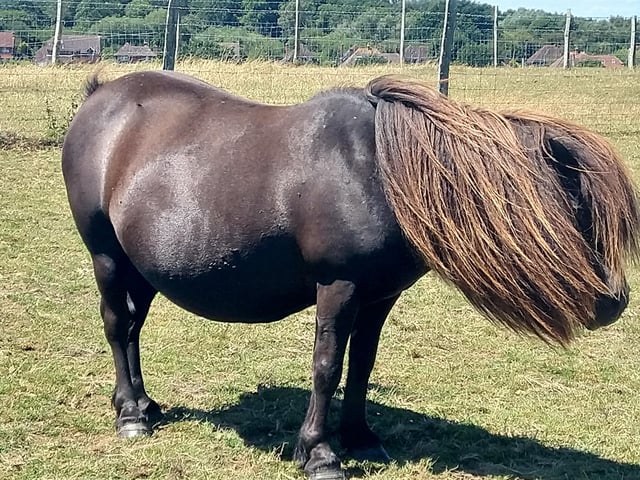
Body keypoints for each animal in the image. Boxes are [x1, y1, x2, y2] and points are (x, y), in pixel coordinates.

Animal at [62, 71, 639, 480]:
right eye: (574, 207)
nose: (616, 301)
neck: (377, 171)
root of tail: (101, 95)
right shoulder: (338, 287)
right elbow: (327, 366)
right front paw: (320, 453)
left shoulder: (380, 294)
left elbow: (361, 364)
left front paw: (360, 435)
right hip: (107, 256)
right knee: (116, 324)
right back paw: (130, 415)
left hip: (143, 266)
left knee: (134, 327)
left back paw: (144, 402)